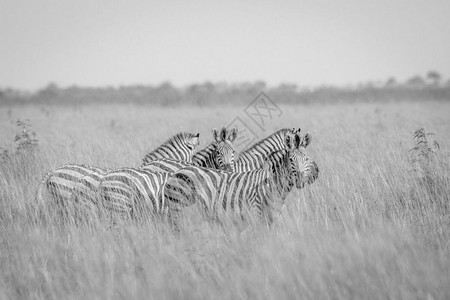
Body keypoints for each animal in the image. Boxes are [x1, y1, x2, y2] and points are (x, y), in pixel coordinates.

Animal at [164, 130, 316, 226]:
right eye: (291, 160)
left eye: (307, 159)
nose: (301, 181)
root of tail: (177, 172)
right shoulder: (255, 214)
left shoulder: (271, 218)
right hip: (178, 209)